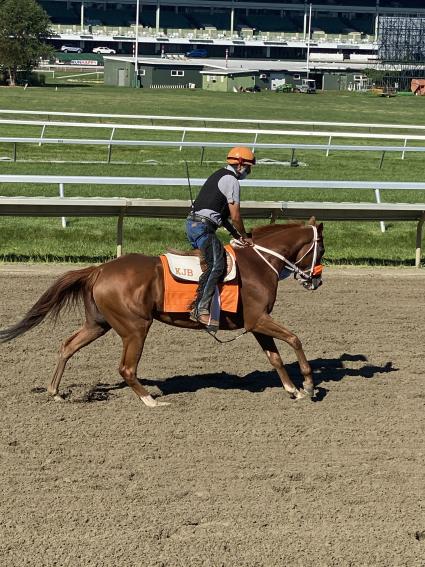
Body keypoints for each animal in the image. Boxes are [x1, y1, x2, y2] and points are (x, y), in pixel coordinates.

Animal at [0, 219, 322, 408]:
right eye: (320, 249)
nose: (316, 280)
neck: (258, 262)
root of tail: (100, 269)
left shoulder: (256, 323)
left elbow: (275, 357)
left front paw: (293, 389)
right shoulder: (259, 319)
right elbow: (294, 339)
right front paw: (308, 384)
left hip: (99, 324)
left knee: (67, 346)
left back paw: (54, 390)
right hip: (135, 327)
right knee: (126, 368)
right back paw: (150, 401)